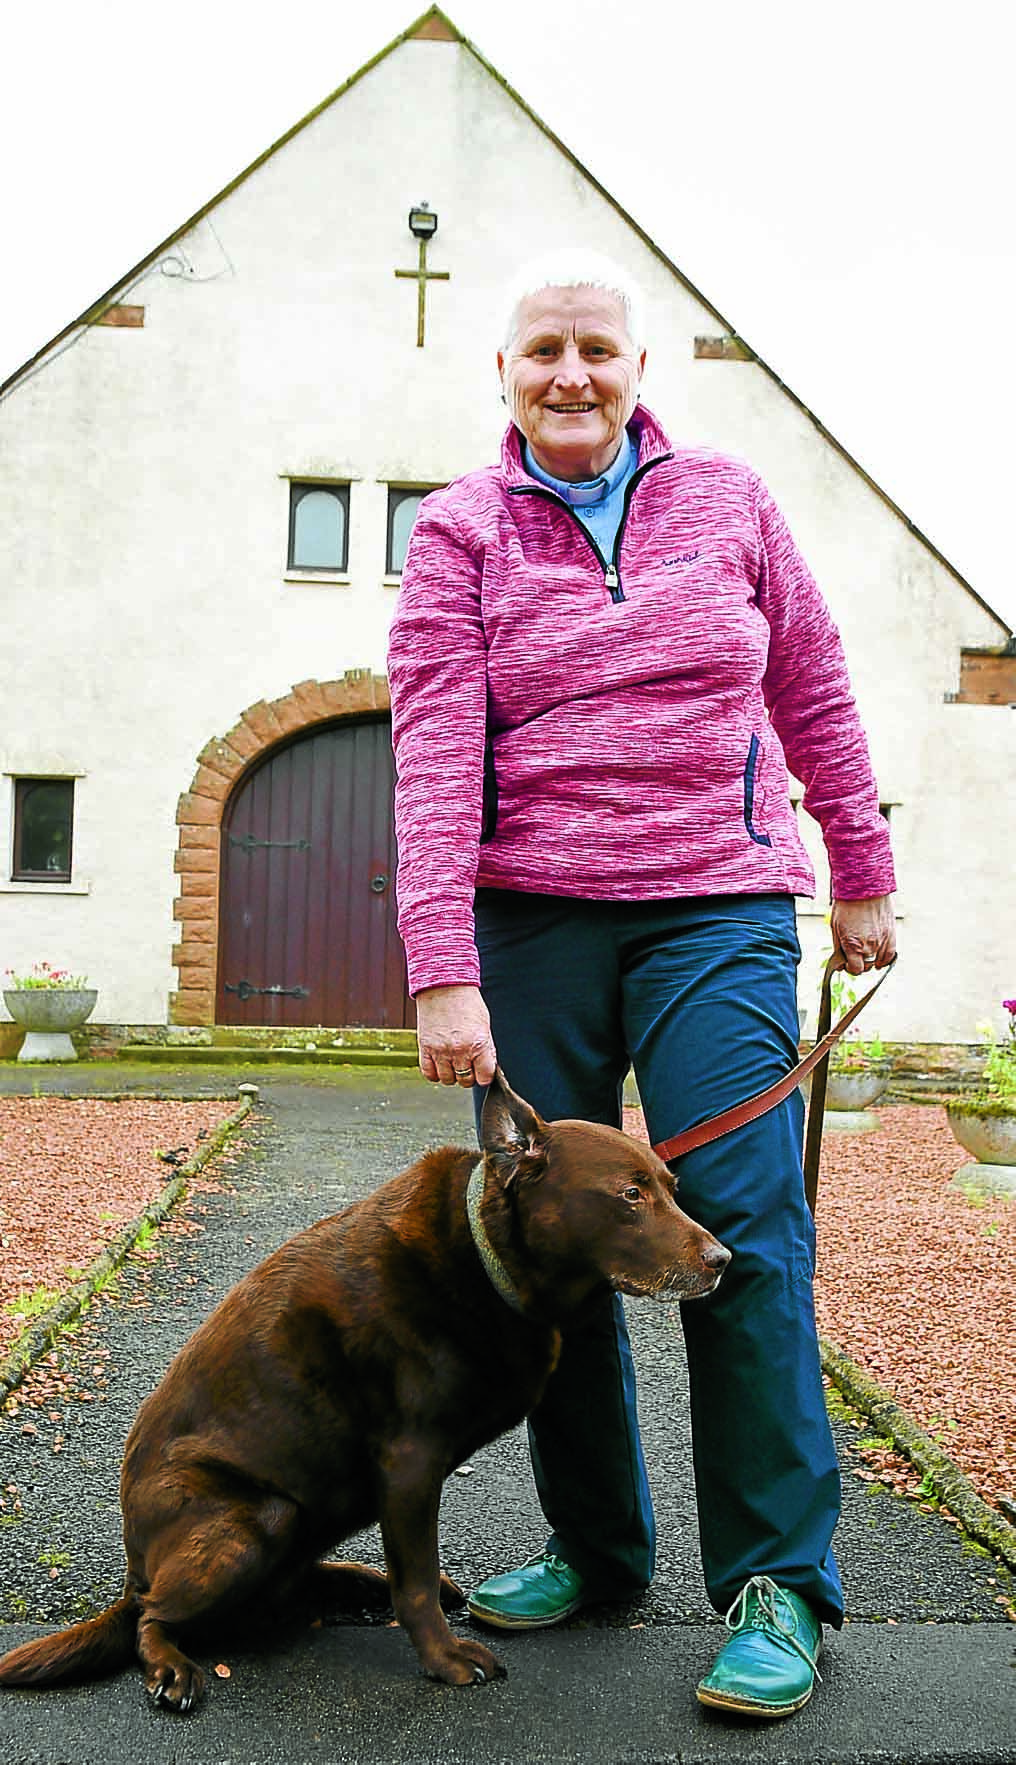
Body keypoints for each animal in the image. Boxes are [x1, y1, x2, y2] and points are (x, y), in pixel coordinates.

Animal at [1, 1073, 730, 1708]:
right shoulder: (409, 1462)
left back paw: (356, 1581)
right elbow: (415, 1584)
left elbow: (413, 1577)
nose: (722, 1260)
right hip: (257, 1516)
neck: (487, 1255)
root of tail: (133, 1568)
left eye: (670, 1187)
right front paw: (445, 1659)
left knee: (286, 1584)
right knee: (152, 1619)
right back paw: (173, 1668)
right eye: (629, 1194)